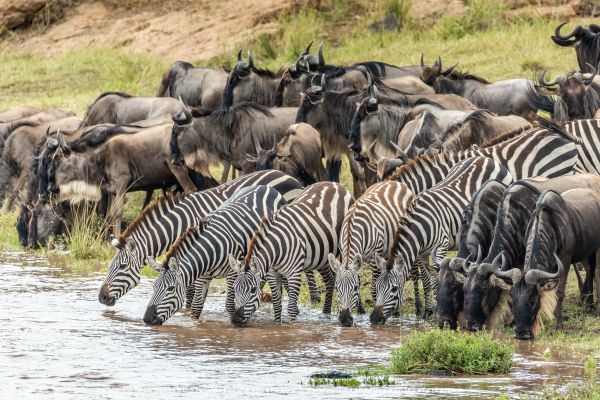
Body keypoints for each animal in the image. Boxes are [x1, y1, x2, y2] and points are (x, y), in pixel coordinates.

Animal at [100, 169, 304, 310]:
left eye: (122, 267)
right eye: (110, 267)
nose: (101, 297)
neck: (179, 224)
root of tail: (290, 177)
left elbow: (190, 292)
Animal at [145, 185, 286, 324]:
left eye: (170, 288)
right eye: (154, 286)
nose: (147, 319)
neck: (211, 251)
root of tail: (266, 187)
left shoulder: (233, 272)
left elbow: (230, 305)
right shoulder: (202, 276)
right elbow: (196, 307)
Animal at [229, 183, 352, 324]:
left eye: (253, 289)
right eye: (234, 287)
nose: (235, 319)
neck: (277, 248)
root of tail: (333, 184)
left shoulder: (294, 273)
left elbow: (292, 308)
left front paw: (292, 325)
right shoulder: (272, 274)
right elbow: (277, 305)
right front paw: (278, 324)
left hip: (343, 247)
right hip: (322, 256)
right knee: (330, 280)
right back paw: (325, 313)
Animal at [326, 181, 428, 328]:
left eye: (355, 288)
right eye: (337, 288)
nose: (344, 319)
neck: (352, 226)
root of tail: (394, 182)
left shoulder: (374, 257)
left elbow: (374, 288)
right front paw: (361, 310)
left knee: (414, 274)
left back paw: (418, 308)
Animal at [370, 155, 510, 324]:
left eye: (394, 289)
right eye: (377, 286)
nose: (374, 318)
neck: (420, 225)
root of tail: (485, 158)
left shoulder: (440, 247)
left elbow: (438, 279)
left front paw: (438, 311)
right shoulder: (422, 253)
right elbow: (427, 280)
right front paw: (428, 311)